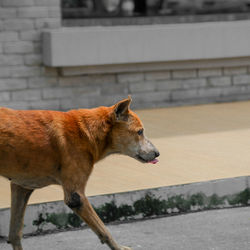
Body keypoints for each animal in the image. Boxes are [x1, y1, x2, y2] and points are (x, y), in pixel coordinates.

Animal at [0, 97, 159, 250]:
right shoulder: (76, 196)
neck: (86, 132)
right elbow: (104, 230)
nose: (158, 153)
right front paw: (118, 247)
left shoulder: (21, 187)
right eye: (140, 132)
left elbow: (15, 233)